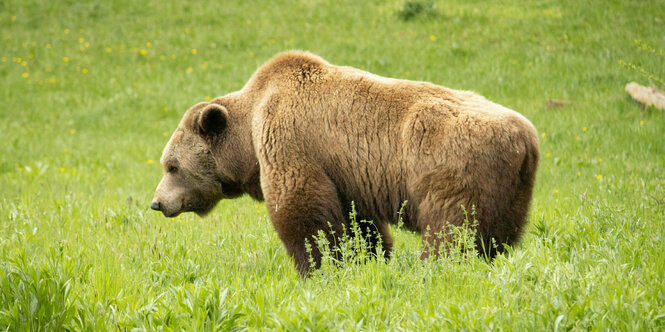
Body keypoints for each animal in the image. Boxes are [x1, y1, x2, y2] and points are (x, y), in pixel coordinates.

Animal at [150, 51, 540, 274]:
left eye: (172, 166)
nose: (157, 202)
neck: (247, 137)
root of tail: (526, 140)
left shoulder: (291, 139)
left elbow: (302, 209)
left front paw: (317, 266)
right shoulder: (348, 173)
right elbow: (358, 222)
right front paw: (366, 258)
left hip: (453, 167)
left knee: (452, 229)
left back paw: (436, 267)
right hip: (510, 192)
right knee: (496, 235)